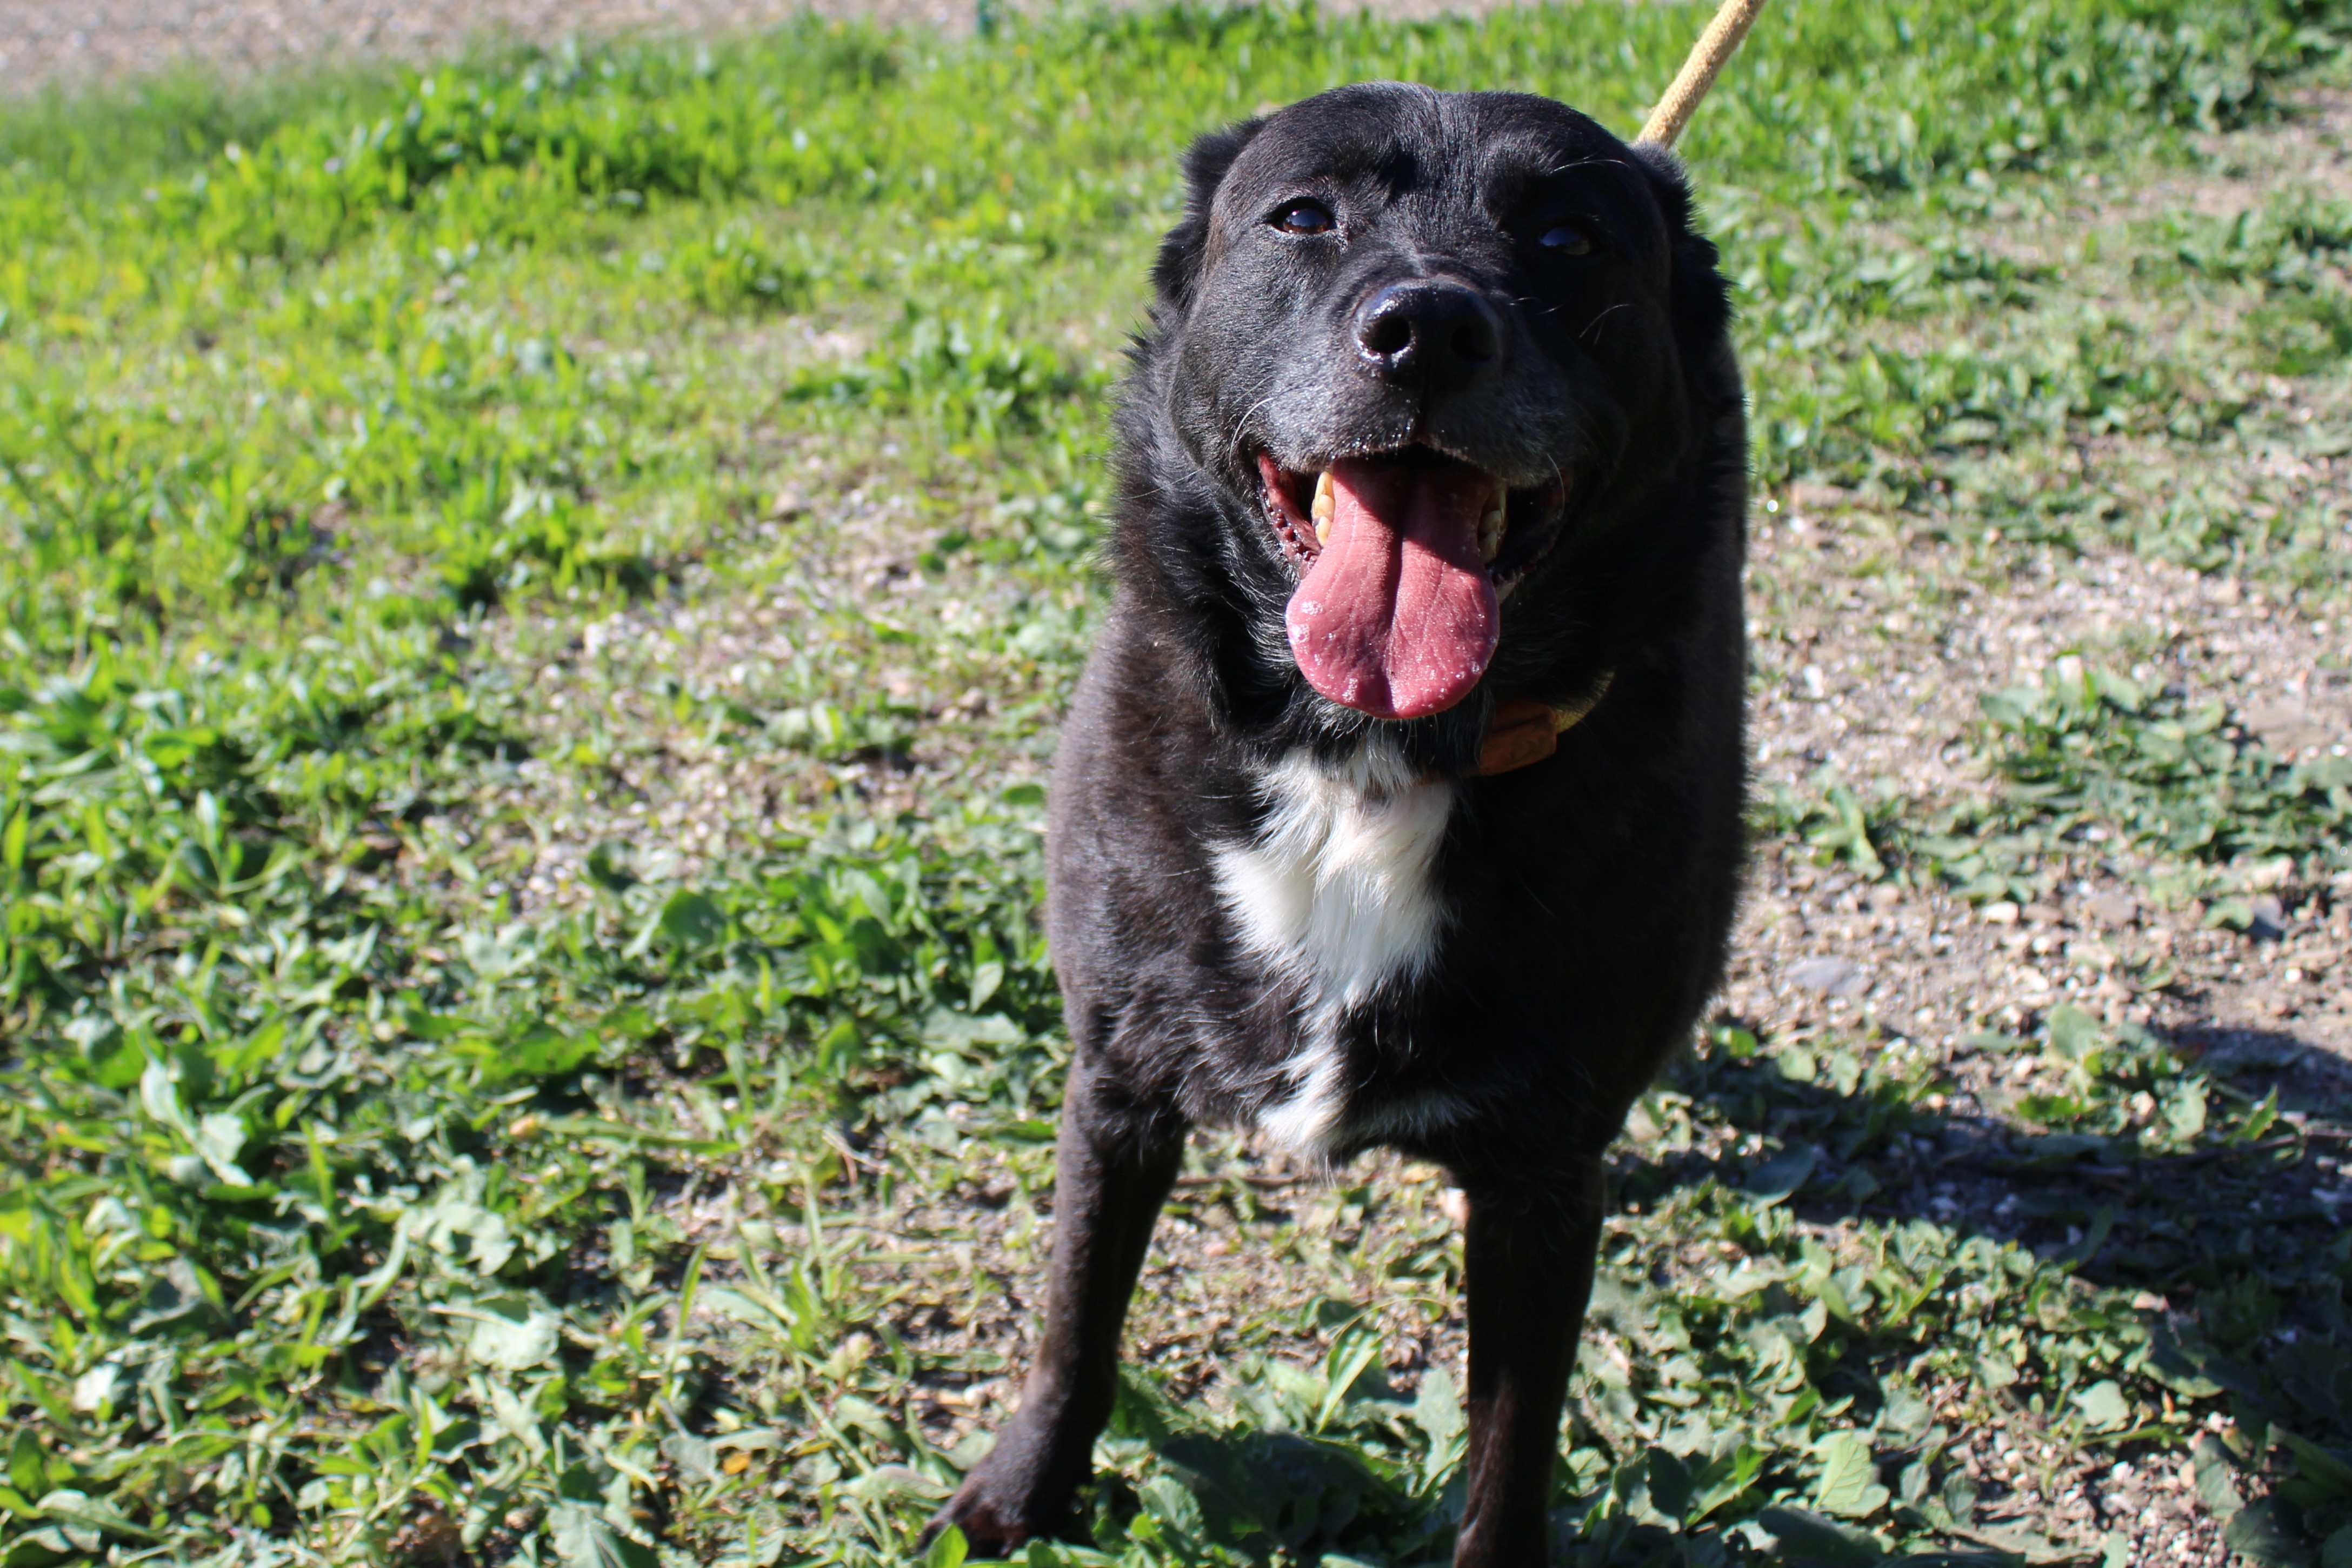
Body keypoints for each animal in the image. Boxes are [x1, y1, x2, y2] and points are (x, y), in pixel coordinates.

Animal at [927, 85, 1740, 1568]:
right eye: (1303, 215)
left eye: (1567, 235)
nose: (1428, 328)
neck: (1363, 755)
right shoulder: (1115, 1077)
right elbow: (1074, 1319)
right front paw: (1022, 1490)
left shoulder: (1544, 1178)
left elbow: (1511, 1450)